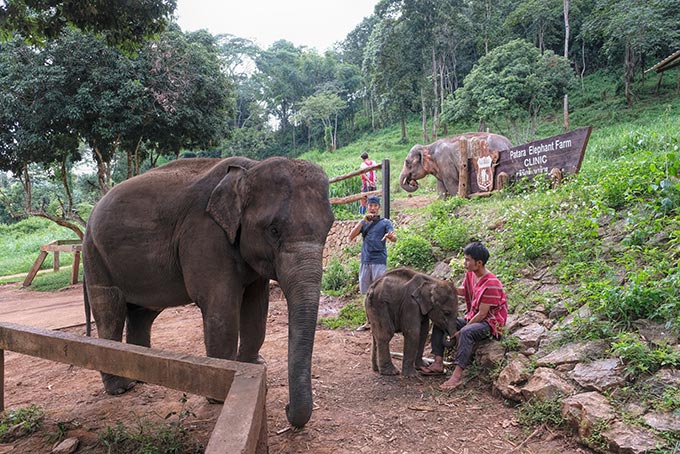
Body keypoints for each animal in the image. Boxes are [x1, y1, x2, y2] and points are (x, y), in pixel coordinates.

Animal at [83, 154, 334, 428]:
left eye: (329, 227)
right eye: (273, 230)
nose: (287, 408)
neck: (250, 168)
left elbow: (257, 307)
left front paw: (255, 368)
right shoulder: (205, 237)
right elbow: (221, 308)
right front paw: (221, 394)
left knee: (142, 313)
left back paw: (140, 377)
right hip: (95, 256)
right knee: (111, 309)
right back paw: (121, 388)